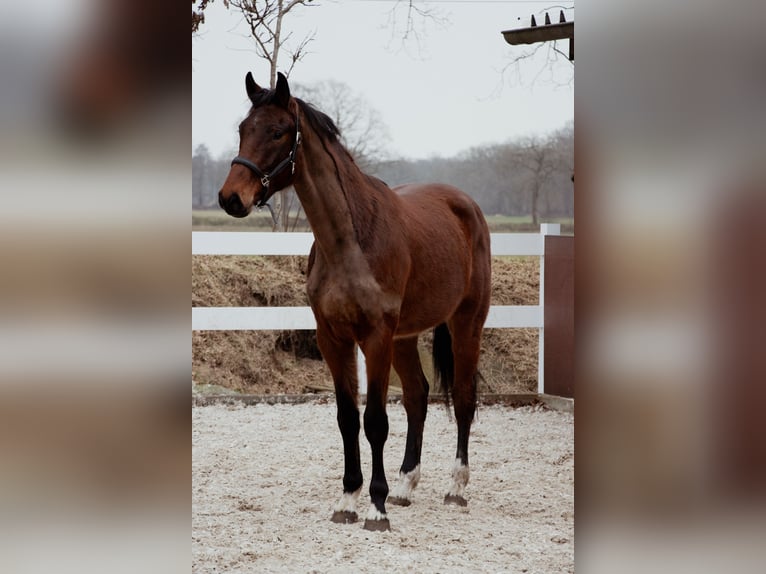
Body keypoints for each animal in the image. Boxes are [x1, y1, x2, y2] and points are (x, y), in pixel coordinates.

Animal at [218, 73, 492, 536]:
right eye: (242, 128)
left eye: (277, 132)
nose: (231, 198)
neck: (351, 240)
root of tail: (467, 205)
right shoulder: (334, 338)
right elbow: (347, 418)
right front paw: (349, 498)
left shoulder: (375, 336)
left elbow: (375, 422)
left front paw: (375, 509)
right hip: (405, 336)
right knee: (418, 396)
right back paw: (405, 486)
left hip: (465, 323)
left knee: (463, 397)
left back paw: (455, 488)